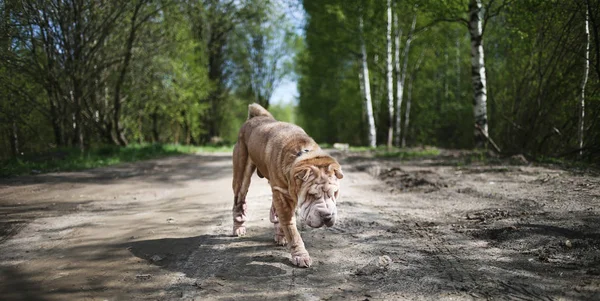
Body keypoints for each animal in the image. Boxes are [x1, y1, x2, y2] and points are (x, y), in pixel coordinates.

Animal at [231, 103, 342, 268]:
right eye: (311, 195)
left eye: (334, 193)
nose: (327, 216)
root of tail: (254, 118)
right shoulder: (282, 196)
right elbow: (292, 229)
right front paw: (300, 255)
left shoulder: (283, 193)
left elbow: (284, 221)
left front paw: (284, 236)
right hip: (242, 174)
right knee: (239, 201)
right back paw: (238, 228)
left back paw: (279, 234)